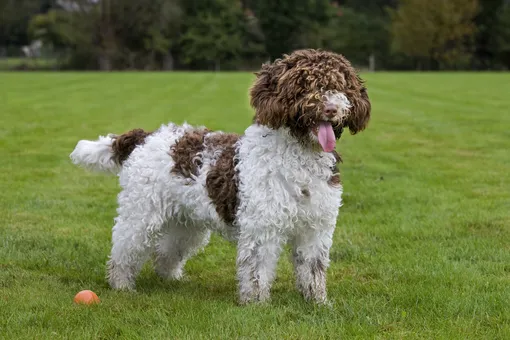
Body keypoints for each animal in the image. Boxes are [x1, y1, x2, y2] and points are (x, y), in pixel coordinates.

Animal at [69, 48, 370, 306]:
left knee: (166, 252)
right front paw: (256, 304)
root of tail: (146, 135)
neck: (300, 157)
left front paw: (317, 302)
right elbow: (257, 270)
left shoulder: (315, 228)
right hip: (140, 213)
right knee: (125, 249)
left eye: (339, 86)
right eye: (305, 85)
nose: (331, 108)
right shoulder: (262, 228)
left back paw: (172, 279)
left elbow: (313, 269)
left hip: (186, 223)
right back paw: (121, 285)